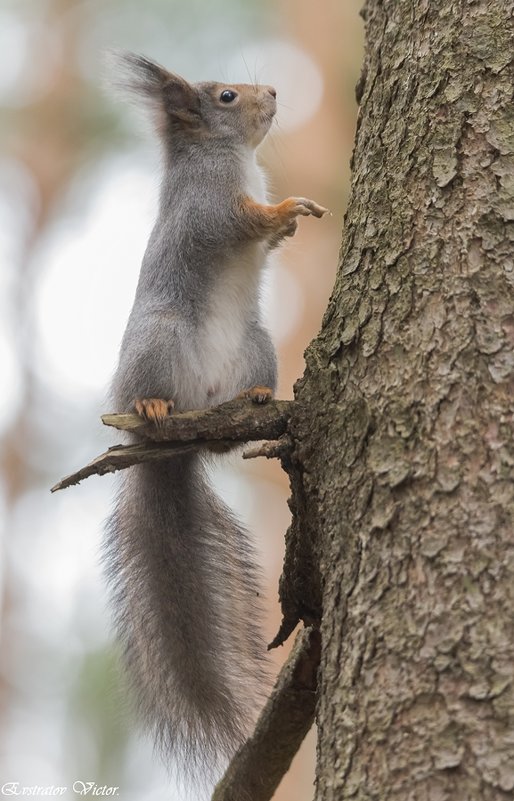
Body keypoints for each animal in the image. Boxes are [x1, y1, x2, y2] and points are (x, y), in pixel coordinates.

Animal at [104, 53, 326, 780]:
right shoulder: (207, 209)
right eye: (227, 95)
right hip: (160, 344)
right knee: (149, 400)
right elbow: (236, 222)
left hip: (257, 348)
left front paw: (291, 220)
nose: (274, 91)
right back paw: (150, 405)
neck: (230, 156)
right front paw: (285, 210)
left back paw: (254, 401)